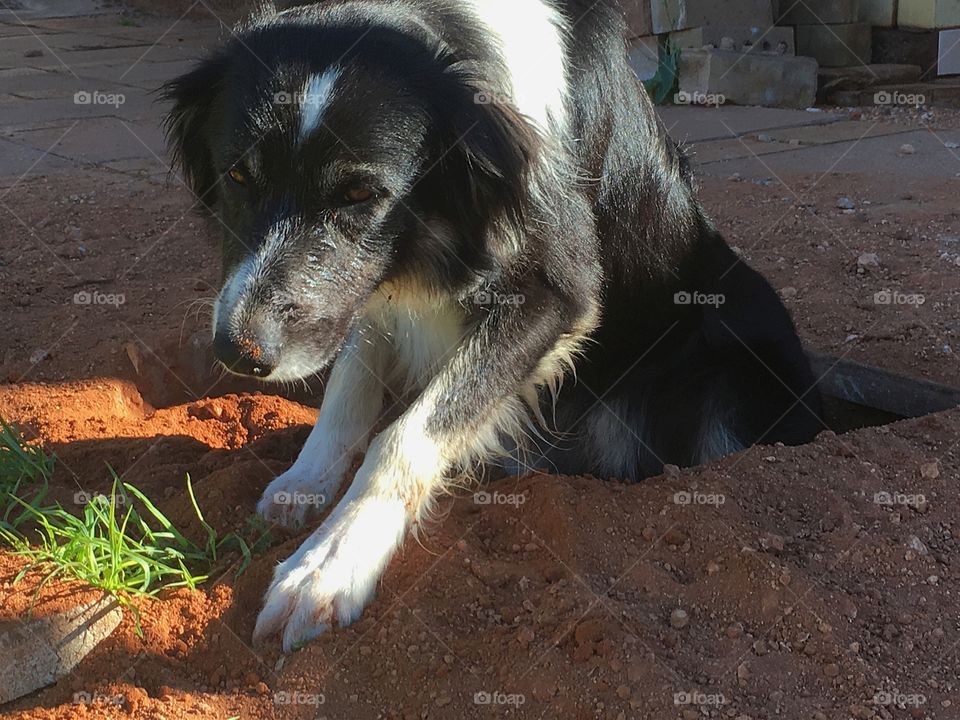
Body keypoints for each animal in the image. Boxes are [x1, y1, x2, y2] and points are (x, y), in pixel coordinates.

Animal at [161, 0, 820, 652]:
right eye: (237, 176)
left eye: (359, 194)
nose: (238, 351)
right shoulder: (369, 290)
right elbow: (350, 386)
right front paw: (306, 480)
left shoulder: (558, 295)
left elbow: (405, 434)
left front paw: (329, 565)